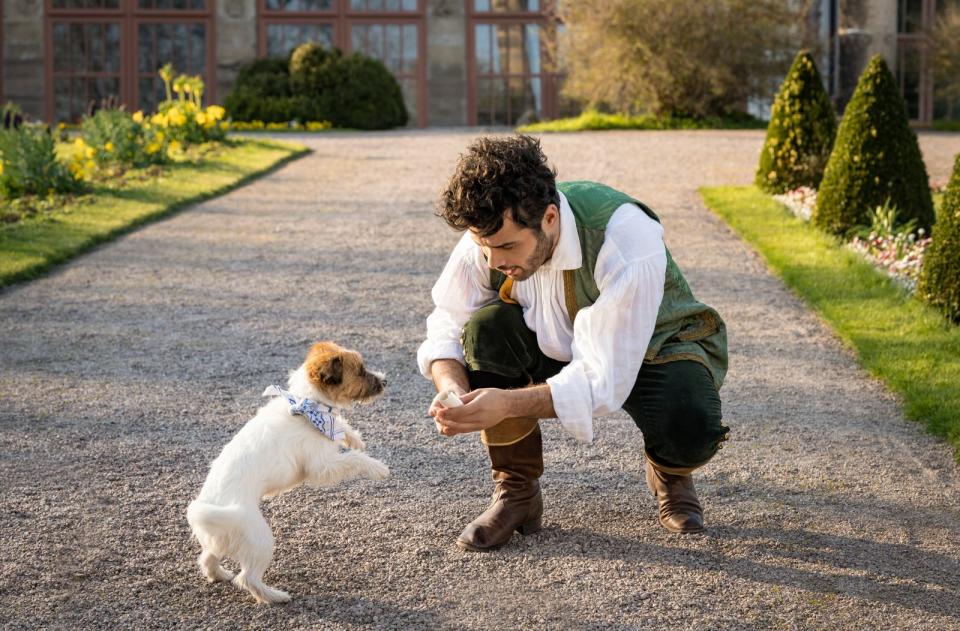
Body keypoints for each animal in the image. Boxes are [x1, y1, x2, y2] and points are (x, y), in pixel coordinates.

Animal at [188, 344, 390, 604]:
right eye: (360, 371)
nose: (385, 380)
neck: (307, 403)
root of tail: (205, 512)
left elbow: (340, 425)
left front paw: (353, 438)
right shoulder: (322, 466)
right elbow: (352, 459)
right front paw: (378, 468)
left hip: (219, 541)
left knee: (207, 559)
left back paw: (219, 575)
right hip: (260, 540)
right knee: (247, 578)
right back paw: (275, 596)